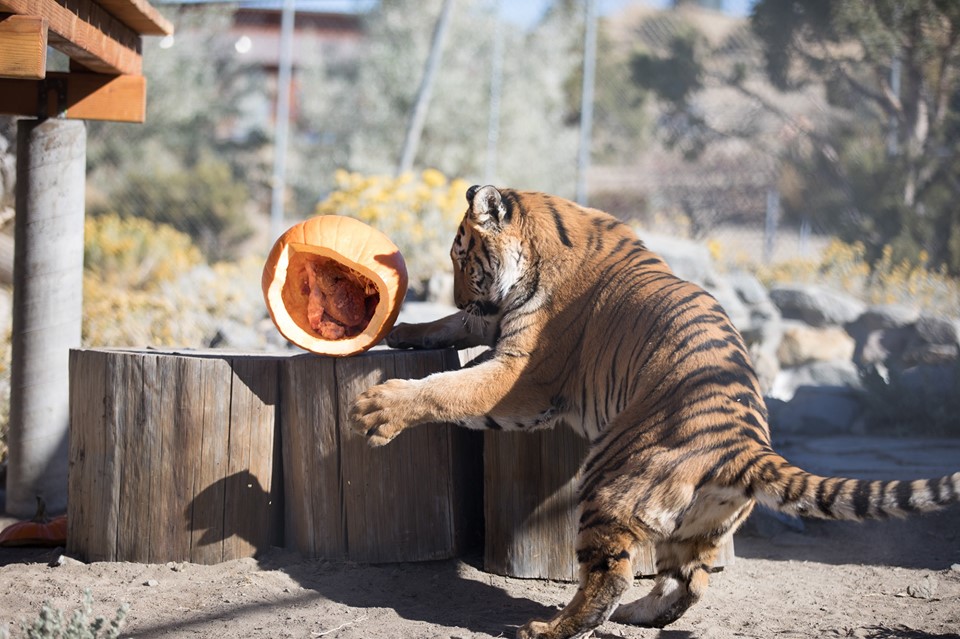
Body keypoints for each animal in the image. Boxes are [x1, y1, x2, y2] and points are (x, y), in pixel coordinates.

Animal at [350, 185, 960, 639]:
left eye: (462, 257)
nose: (457, 295)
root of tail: (747, 442)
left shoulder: (519, 377)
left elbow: (449, 387)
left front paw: (378, 408)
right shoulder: (495, 329)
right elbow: (451, 334)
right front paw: (404, 329)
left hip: (608, 482)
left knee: (610, 577)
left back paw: (550, 628)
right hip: (699, 525)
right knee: (688, 582)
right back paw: (642, 616)